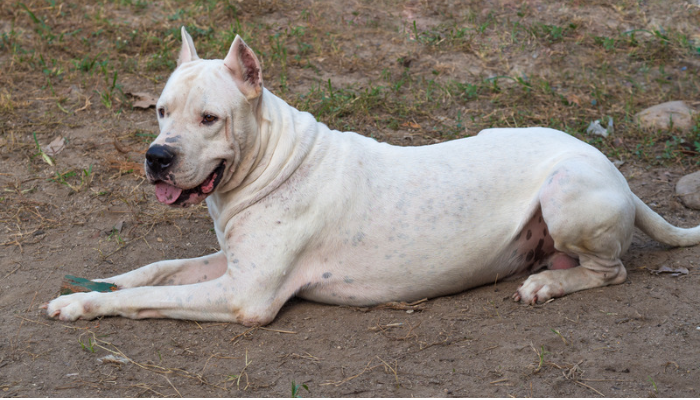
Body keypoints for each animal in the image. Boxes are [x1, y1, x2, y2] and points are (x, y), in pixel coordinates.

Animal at [46, 28, 696, 328]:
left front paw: (84, 306)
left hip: (565, 191)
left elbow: (148, 296)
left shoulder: (243, 295)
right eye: (160, 111)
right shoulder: (229, 264)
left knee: (609, 272)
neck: (276, 162)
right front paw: (86, 288)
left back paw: (548, 285)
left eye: (209, 118)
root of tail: (609, 166)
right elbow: (153, 272)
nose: (157, 156)